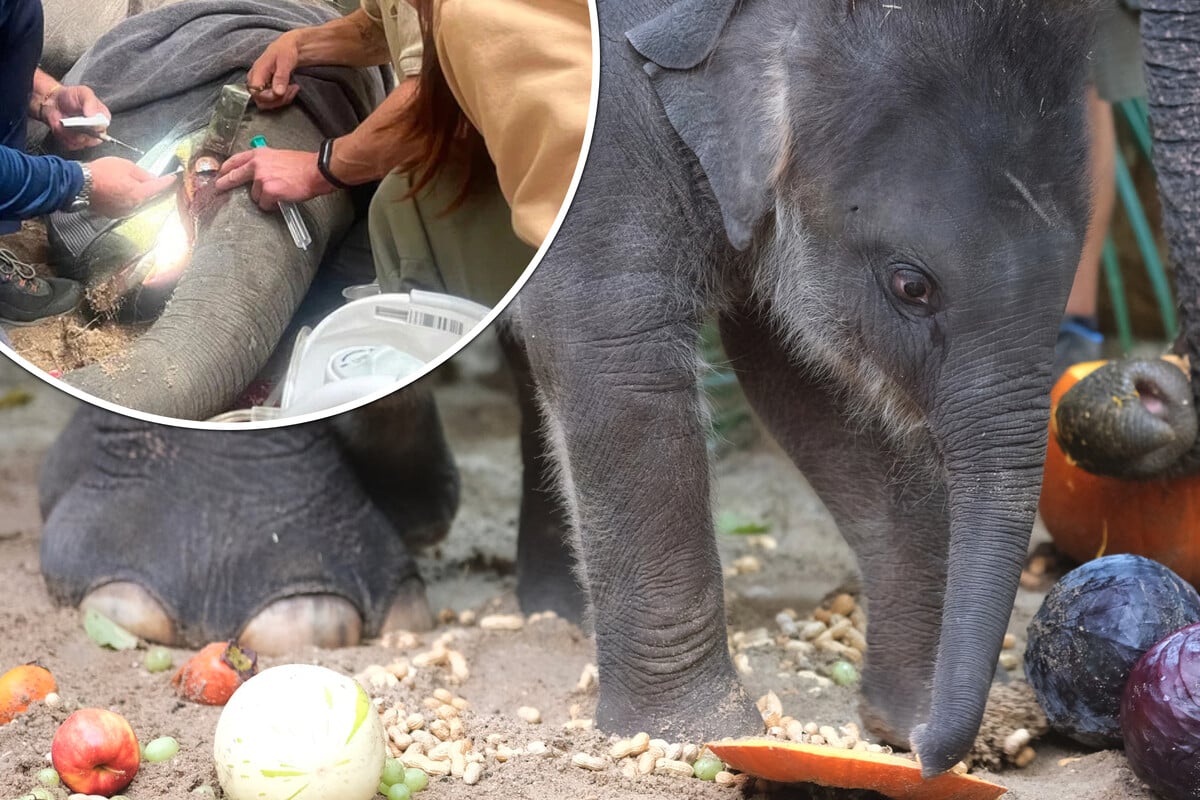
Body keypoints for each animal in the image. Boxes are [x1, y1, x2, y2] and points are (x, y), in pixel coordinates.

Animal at [39, 0, 1200, 782]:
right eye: (911, 282)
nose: (929, 754)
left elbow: (797, 374)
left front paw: (904, 717)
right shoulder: (617, 130)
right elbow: (618, 346)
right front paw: (703, 734)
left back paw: (545, 604)